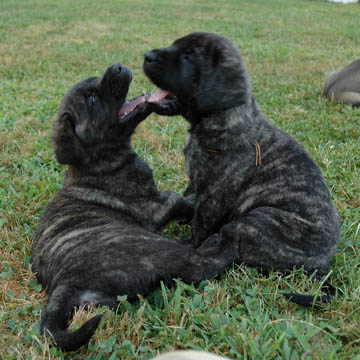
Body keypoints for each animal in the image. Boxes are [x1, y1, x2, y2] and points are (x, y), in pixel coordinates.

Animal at [31, 64, 239, 352]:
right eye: (92, 100)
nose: (117, 67)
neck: (100, 160)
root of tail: (64, 282)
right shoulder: (155, 206)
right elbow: (179, 200)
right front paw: (194, 200)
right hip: (155, 248)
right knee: (203, 265)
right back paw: (227, 239)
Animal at [143, 32, 340, 306]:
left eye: (189, 56)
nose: (147, 56)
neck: (225, 119)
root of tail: (321, 267)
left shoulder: (214, 194)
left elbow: (200, 224)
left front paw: (189, 243)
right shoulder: (196, 181)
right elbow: (187, 200)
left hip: (257, 219)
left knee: (232, 248)